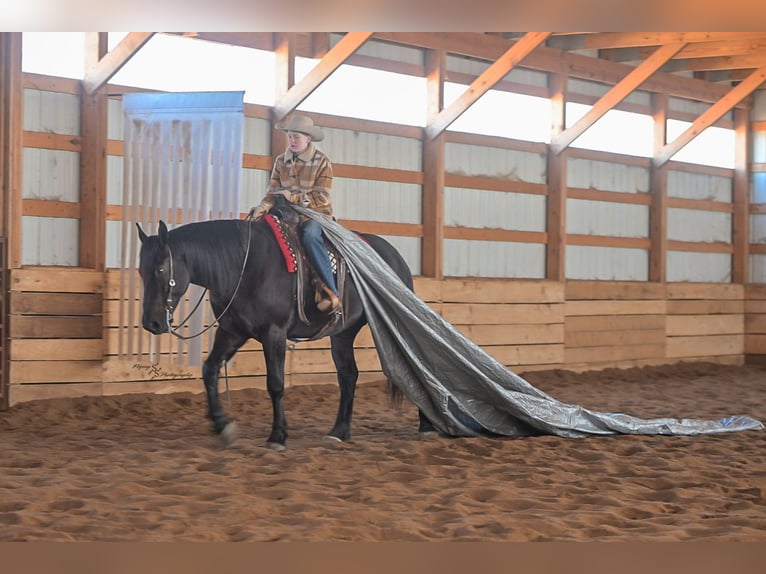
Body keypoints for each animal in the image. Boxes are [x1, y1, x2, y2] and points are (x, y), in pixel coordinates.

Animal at [136, 212, 433, 450]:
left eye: (161, 269)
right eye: (140, 270)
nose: (151, 323)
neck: (243, 267)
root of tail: (394, 255)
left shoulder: (274, 333)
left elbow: (276, 384)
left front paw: (278, 435)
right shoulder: (232, 331)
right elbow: (210, 370)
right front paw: (223, 426)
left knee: (414, 365)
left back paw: (427, 426)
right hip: (342, 333)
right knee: (348, 376)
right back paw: (339, 431)